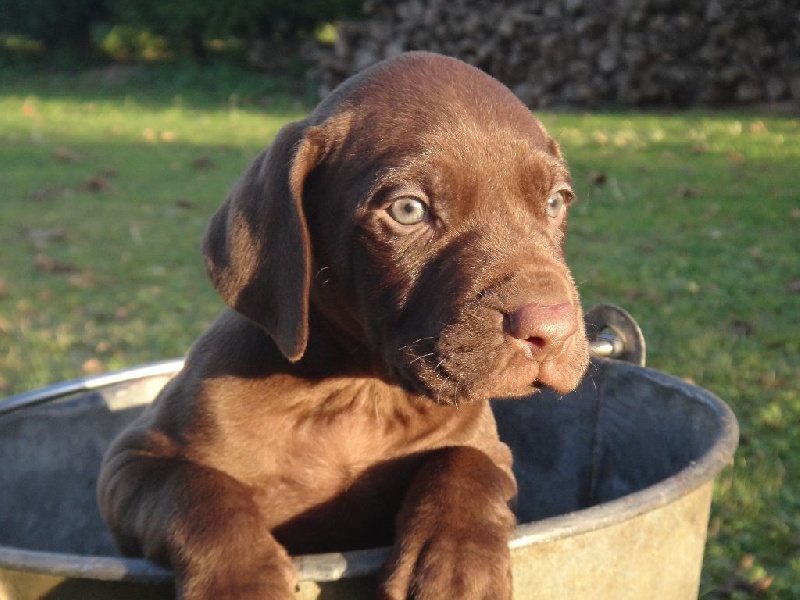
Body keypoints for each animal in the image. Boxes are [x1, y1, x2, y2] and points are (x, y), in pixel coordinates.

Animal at [97, 52, 592, 600]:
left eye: (556, 202)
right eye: (408, 209)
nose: (550, 330)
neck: (357, 393)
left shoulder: (491, 450)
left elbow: (465, 462)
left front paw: (456, 563)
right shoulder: (132, 462)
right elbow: (199, 489)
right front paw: (241, 581)